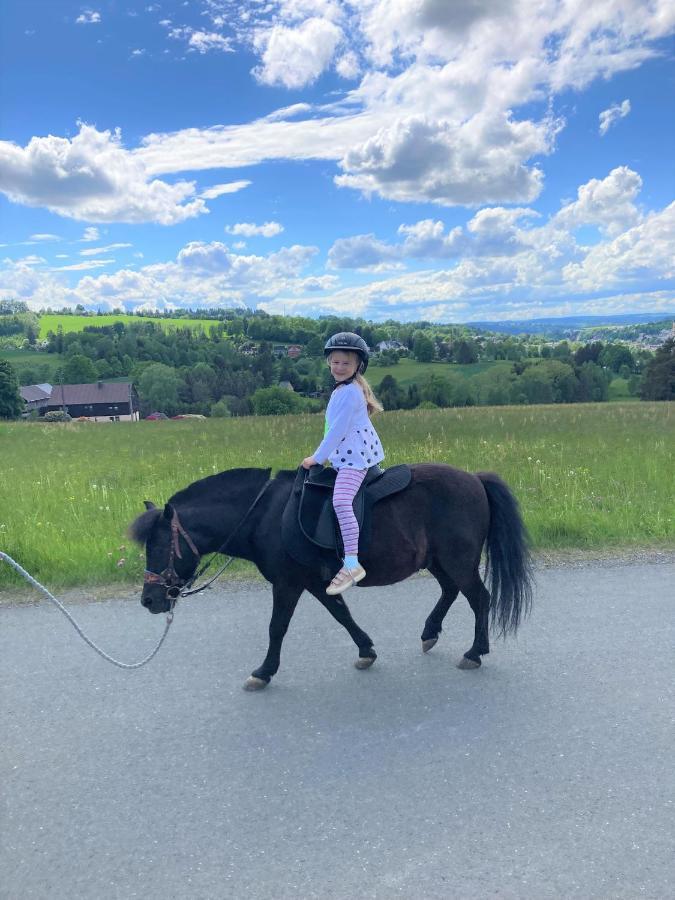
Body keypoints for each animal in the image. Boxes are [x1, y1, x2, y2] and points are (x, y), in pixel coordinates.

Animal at [131, 464, 532, 688]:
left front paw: (263, 672)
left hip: (458, 559)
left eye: (160, 545)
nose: (149, 600)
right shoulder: (316, 582)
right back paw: (430, 633)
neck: (263, 514)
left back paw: (475, 652)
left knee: (479, 598)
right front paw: (366, 650)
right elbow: (342, 615)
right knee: (451, 591)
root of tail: (475, 480)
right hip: (438, 560)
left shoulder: (288, 584)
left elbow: (277, 627)